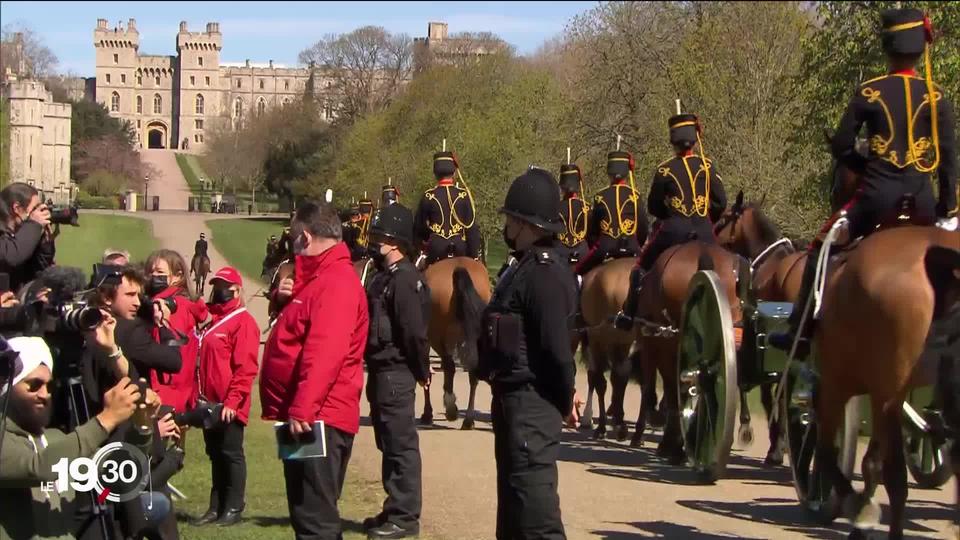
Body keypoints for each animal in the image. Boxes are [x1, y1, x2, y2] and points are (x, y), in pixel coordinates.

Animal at [422, 258, 492, 430]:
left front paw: (427, 413)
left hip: (437, 338)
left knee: (449, 367)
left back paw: (451, 409)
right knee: (473, 374)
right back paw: (468, 419)